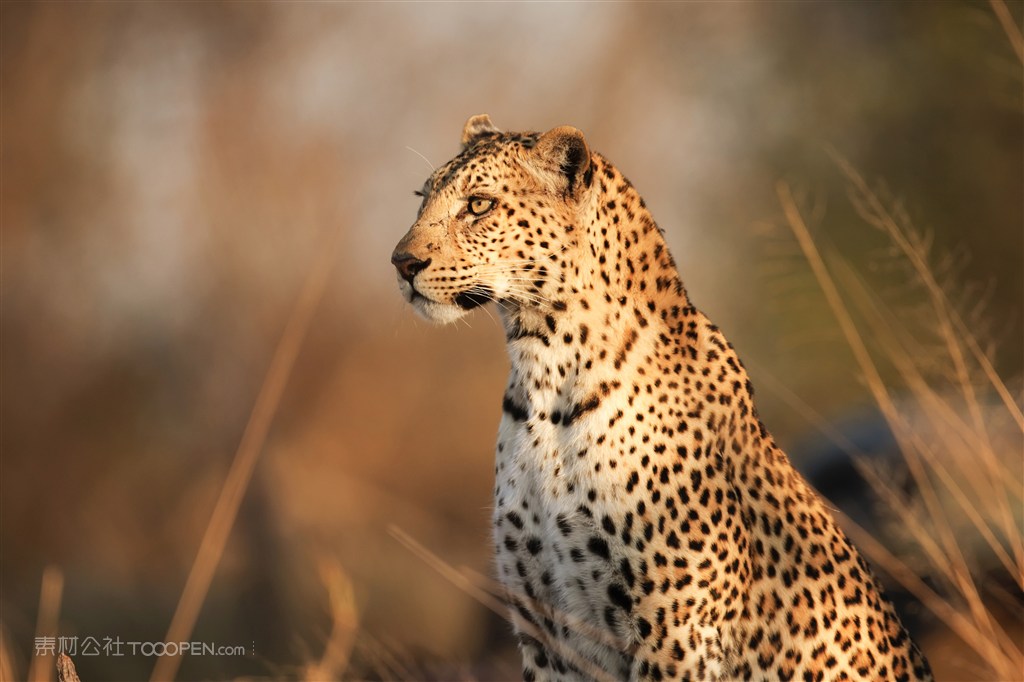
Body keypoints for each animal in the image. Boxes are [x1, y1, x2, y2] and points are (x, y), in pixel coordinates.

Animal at [387, 114, 933, 675]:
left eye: (478, 205)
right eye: (421, 200)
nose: (401, 262)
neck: (543, 374)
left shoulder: (676, 629)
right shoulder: (545, 629)